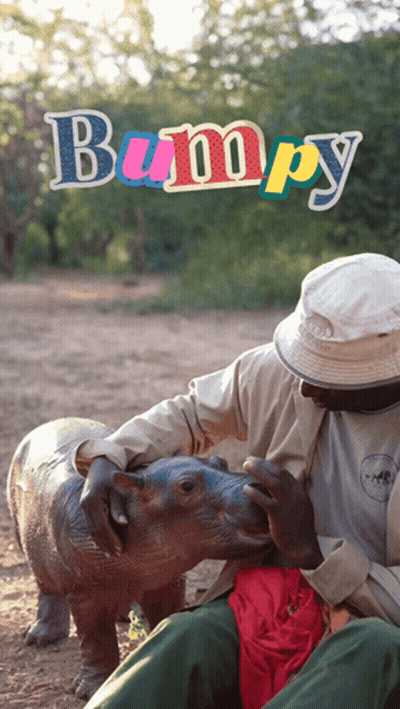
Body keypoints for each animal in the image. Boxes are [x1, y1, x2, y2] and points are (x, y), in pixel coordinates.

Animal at [7, 417, 270, 699]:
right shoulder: (85, 592)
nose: (260, 486)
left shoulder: (167, 579)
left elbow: (165, 615)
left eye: (219, 461)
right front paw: (90, 692)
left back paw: (131, 615)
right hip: (27, 543)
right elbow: (96, 640)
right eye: (186, 486)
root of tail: (51, 422)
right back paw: (39, 638)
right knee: (47, 587)